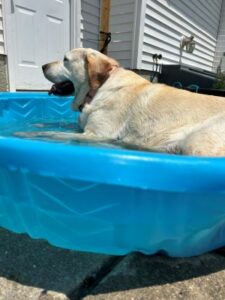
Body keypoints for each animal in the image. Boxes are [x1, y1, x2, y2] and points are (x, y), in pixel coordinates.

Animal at [15, 47, 225, 156]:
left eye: (65, 59)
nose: (43, 66)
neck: (98, 88)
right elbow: (57, 126)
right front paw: (37, 124)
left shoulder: (97, 135)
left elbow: (53, 133)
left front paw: (25, 134)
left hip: (198, 141)